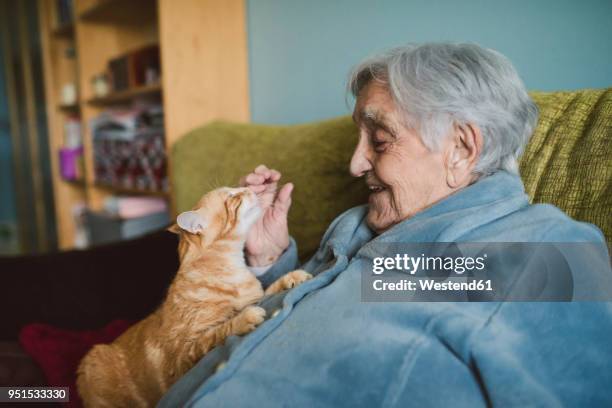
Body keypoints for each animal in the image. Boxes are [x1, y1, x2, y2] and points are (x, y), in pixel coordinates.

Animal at [77, 187, 310, 404]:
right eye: (232, 197)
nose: (251, 188)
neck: (231, 269)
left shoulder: (255, 295)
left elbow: (269, 289)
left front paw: (292, 277)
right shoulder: (184, 354)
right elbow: (220, 330)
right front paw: (245, 318)